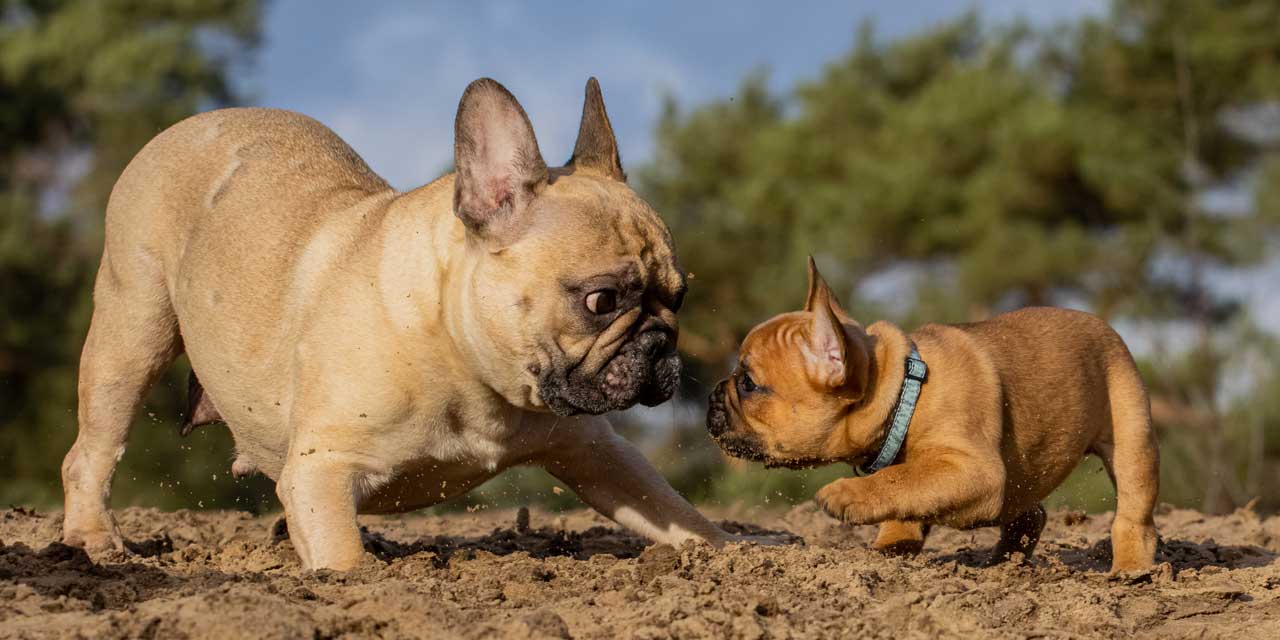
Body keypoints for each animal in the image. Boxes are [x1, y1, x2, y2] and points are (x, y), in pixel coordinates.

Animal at [711, 257, 1162, 573]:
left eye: (748, 383)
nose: (714, 395)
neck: (901, 393)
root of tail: (1104, 326)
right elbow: (906, 489)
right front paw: (892, 545)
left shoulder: (972, 469)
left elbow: (899, 479)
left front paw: (847, 495)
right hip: (1022, 474)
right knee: (1028, 511)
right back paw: (1005, 564)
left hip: (1131, 442)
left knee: (1133, 513)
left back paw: (1131, 572)